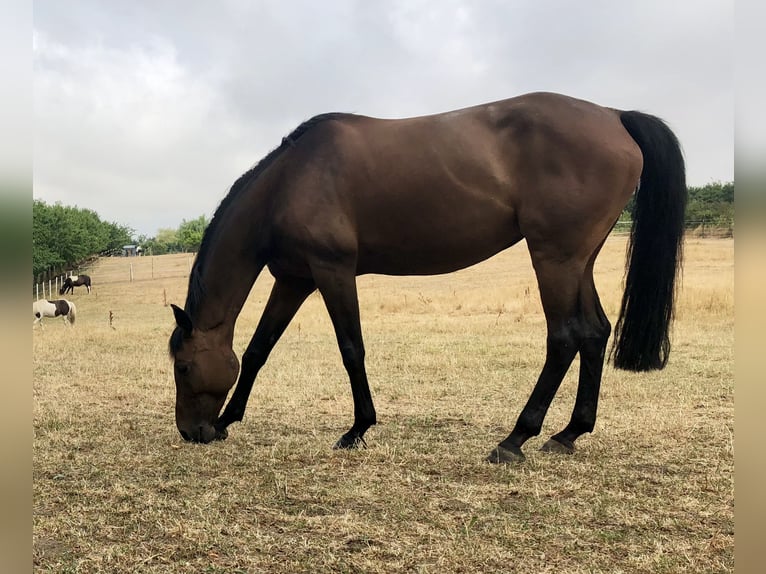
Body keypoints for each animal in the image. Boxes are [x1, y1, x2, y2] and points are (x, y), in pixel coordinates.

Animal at [169, 92, 686, 463]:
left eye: (183, 367)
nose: (191, 433)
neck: (290, 182)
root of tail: (614, 116)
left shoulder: (332, 271)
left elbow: (351, 349)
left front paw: (357, 429)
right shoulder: (295, 279)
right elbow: (258, 350)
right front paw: (229, 420)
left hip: (554, 259)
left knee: (564, 337)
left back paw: (514, 439)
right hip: (580, 260)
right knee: (595, 332)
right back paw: (569, 433)